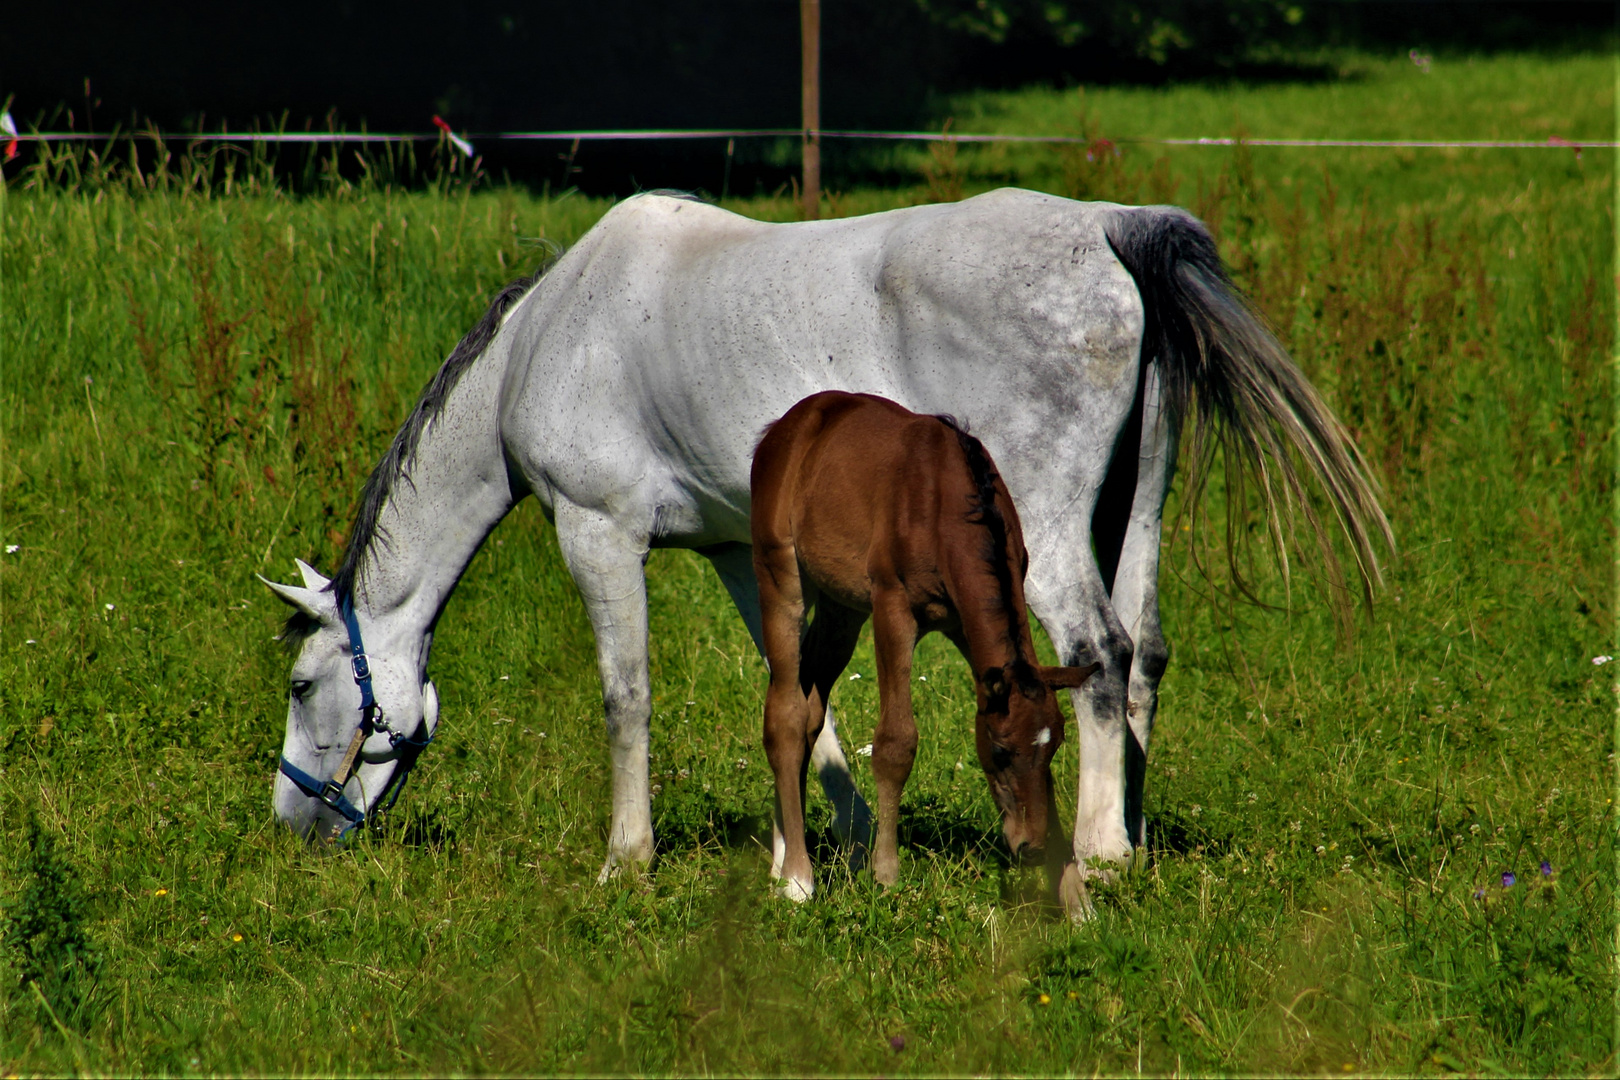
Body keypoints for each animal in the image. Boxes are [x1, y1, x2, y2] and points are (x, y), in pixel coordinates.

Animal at [751, 393, 1095, 900]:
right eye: (1000, 751)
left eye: (1053, 750)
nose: (1030, 847)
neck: (945, 506)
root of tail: (782, 427)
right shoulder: (893, 607)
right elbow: (896, 741)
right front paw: (886, 874)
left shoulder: (967, 625)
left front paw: (1075, 898)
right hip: (780, 574)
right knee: (785, 715)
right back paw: (797, 877)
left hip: (841, 607)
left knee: (808, 703)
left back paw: (780, 861)